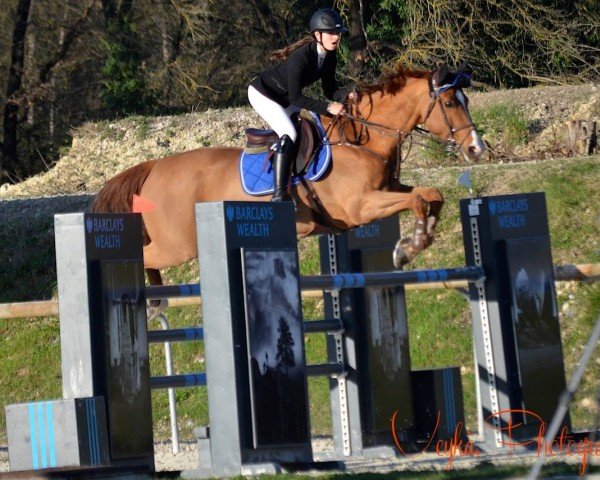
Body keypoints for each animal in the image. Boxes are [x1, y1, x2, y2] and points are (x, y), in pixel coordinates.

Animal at [90, 64, 482, 288]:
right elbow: (416, 199)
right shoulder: (361, 207)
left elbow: (430, 195)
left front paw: (417, 240)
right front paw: (409, 247)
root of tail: (153, 167)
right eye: (450, 103)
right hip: (176, 245)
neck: (363, 138)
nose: (476, 149)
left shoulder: (388, 190)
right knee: (144, 259)